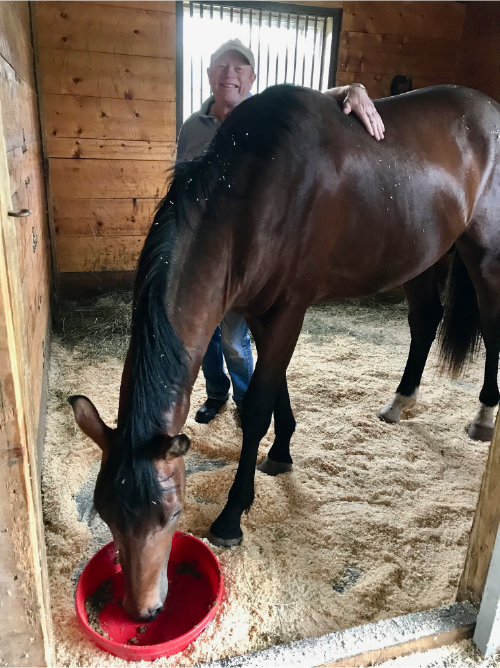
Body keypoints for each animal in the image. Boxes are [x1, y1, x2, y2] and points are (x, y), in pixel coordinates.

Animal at [70, 84, 500, 622]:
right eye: (107, 513)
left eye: (172, 514)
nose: (142, 611)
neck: (257, 193)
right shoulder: (260, 311)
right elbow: (274, 389)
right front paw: (281, 452)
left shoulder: (290, 309)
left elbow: (257, 405)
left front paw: (233, 514)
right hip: (421, 257)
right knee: (425, 321)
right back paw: (400, 402)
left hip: (484, 253)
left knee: (490, 323)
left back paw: (484, 416)